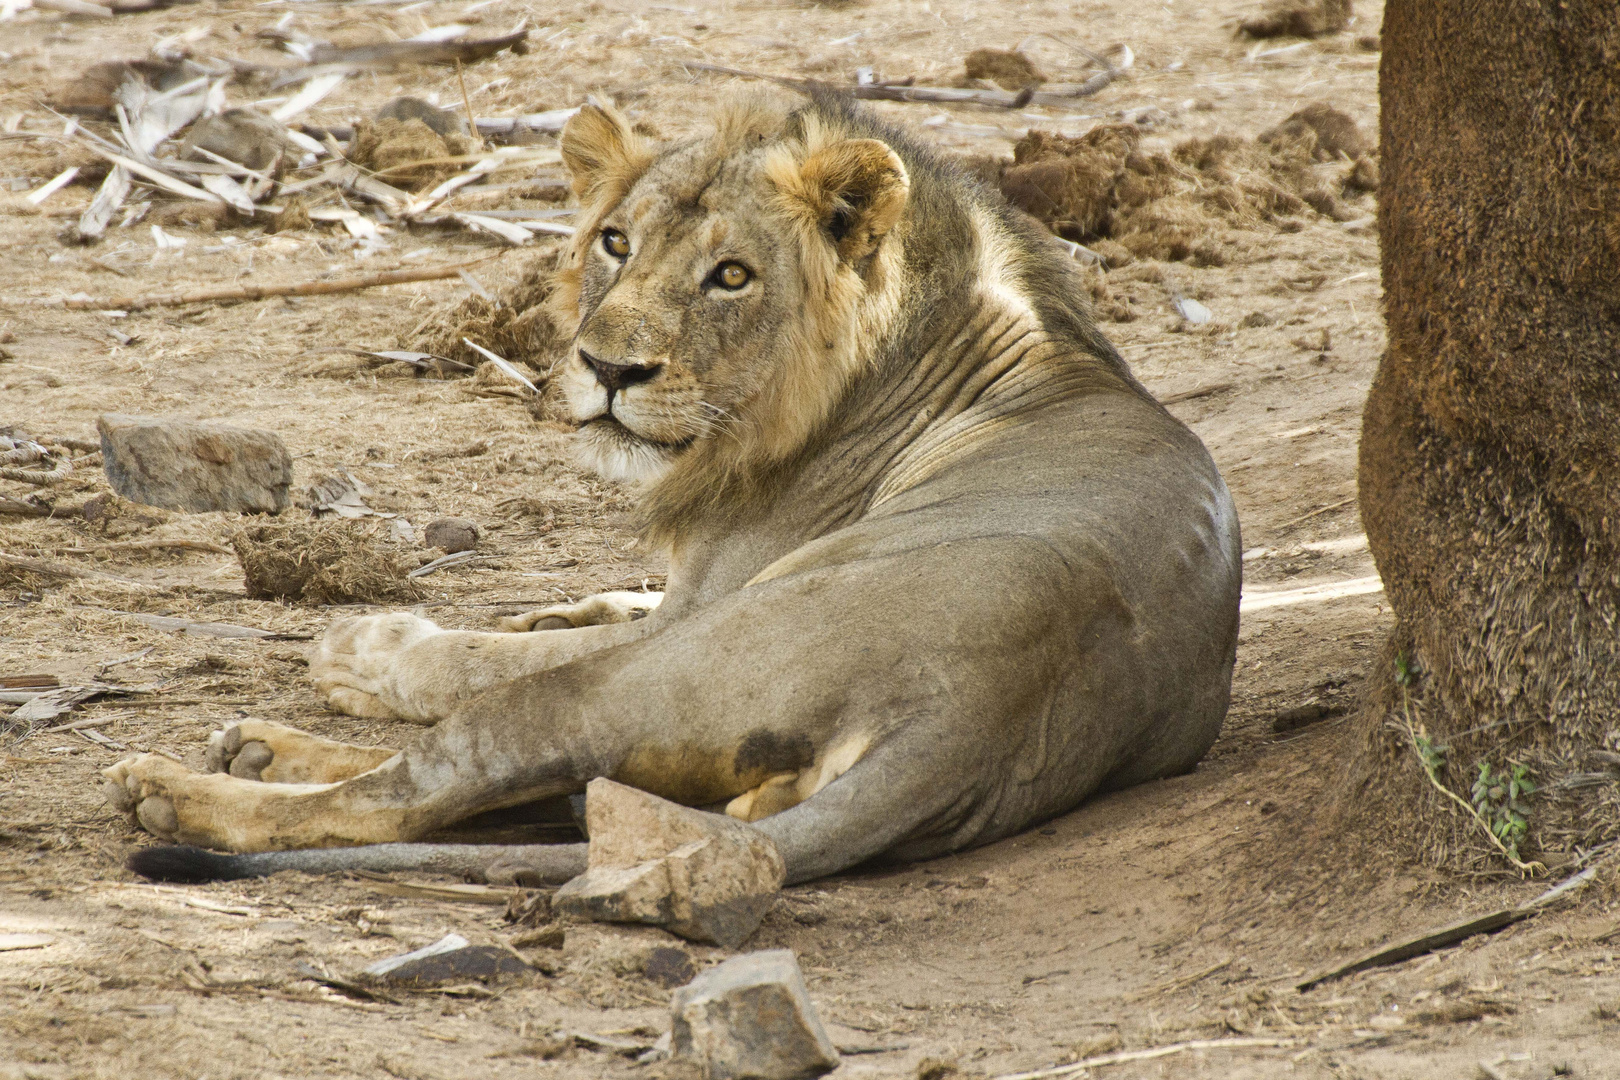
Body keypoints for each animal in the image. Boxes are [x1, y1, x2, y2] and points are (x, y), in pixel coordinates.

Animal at [101, 90, 1237, 887]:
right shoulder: (684, 592)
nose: (607, 370)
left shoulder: (700, 608)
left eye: (731, 276)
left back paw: (187, 790)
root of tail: (978, 712)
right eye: (616, 243)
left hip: (667, 672)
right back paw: (255, 750)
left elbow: (474, 657)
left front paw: (368, 645)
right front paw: (564, 600)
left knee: (422, 785)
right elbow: (590, 608)